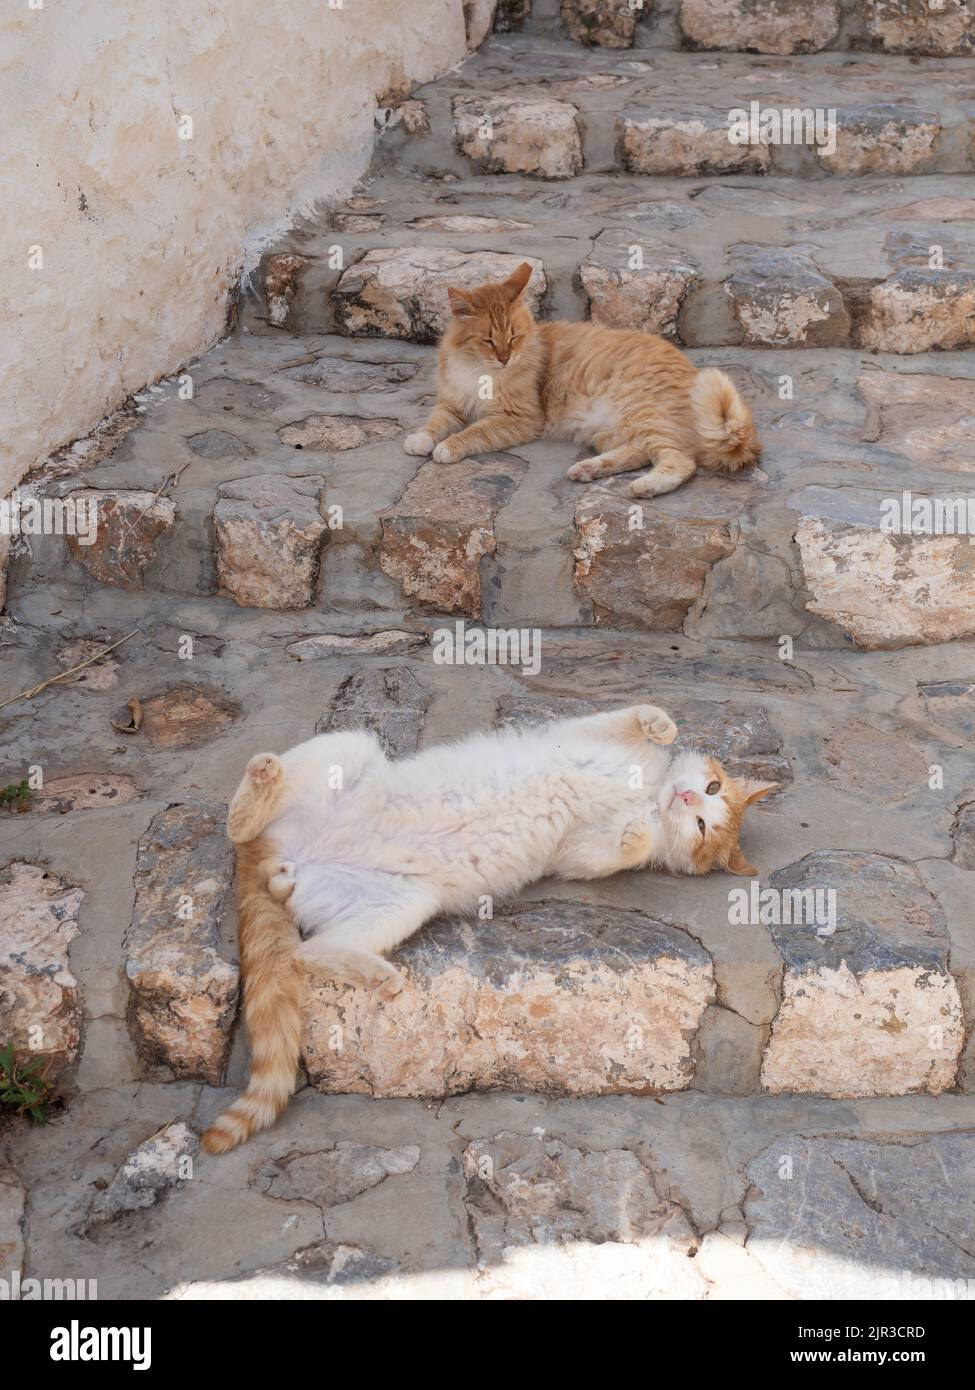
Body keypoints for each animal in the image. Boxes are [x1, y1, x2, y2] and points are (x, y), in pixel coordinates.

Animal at [201, 706, 773, 1150]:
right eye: (710, 788)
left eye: (702, 824)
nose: (688, 800)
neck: (645, 795)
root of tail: (282, 855)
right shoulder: (581, 735)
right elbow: (627, 717)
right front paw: (660, 725)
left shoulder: (578, 855)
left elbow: (613, 851)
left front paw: (637, 833)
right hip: (350, 748)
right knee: (239, 823)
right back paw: (263, 777)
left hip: (405, 901)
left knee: (310, 949)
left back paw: (369, 967)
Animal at [400, 261, 762, 500]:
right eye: (488, 341)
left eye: (514, 337)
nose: (505, 358)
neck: (479, 371)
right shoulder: (451, 403)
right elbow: (435, 422)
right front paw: (421, 440)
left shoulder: (519, 418)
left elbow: (474, 432)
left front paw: (447, 447)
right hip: (612, 432)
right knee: (642, 452)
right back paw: (588, 469)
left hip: (641, 410)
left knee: (680, 461)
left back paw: (644, 486)